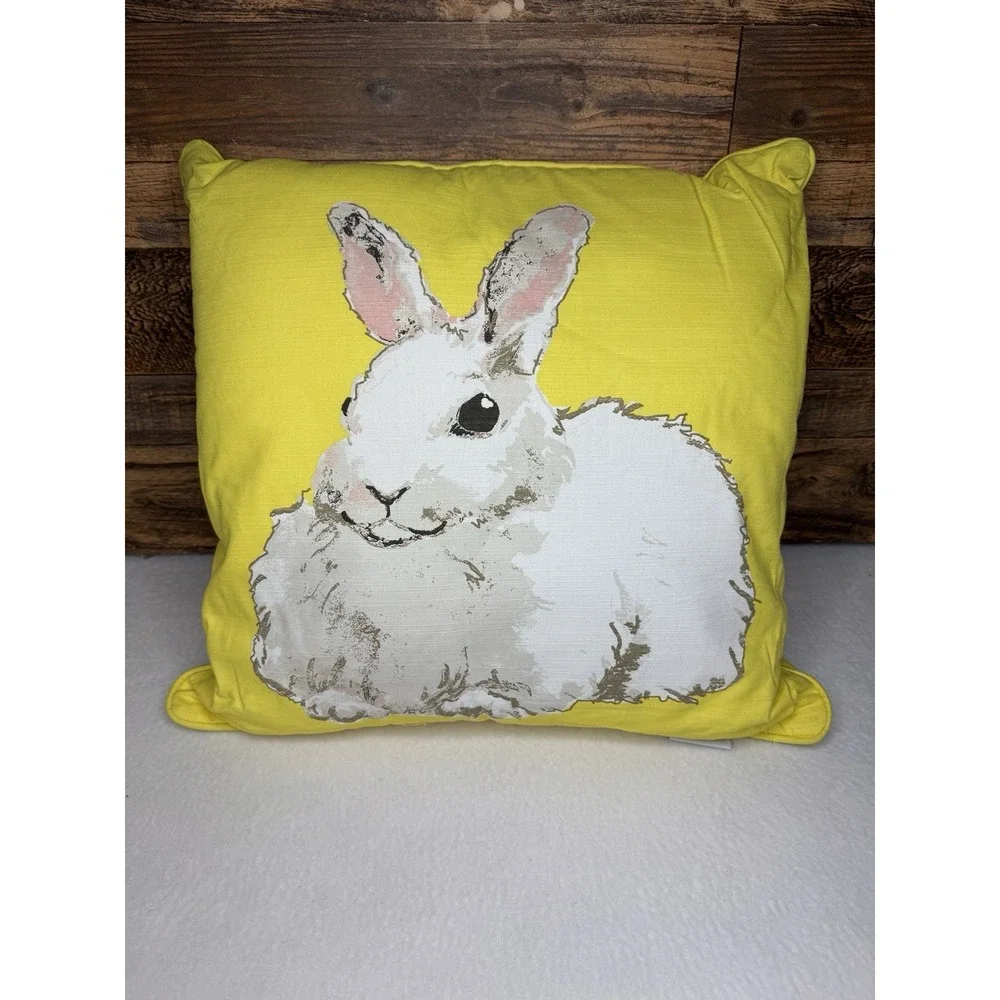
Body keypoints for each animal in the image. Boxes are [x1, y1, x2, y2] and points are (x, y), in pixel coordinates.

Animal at [249, 202, 755, 723]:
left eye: (481, 414)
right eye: (349, 404)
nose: (380, 490)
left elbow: (520, 690)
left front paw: (478, 703)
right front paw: (337, 705)